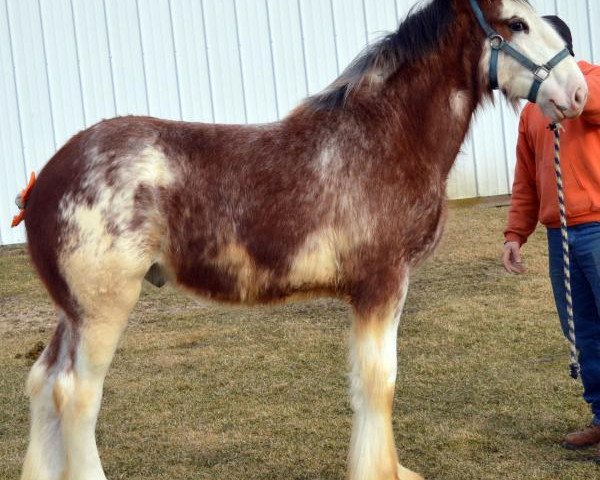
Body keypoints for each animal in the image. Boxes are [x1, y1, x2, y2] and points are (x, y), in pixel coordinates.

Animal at [17, 0, 584, 480]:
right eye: (516, 23)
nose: (578, 92)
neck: (384, 139)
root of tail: (46, 179)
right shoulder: (382, 284)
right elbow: (379, 383)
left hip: (73, 313)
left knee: (44, 383)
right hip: (103, 310)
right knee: (75, 394)